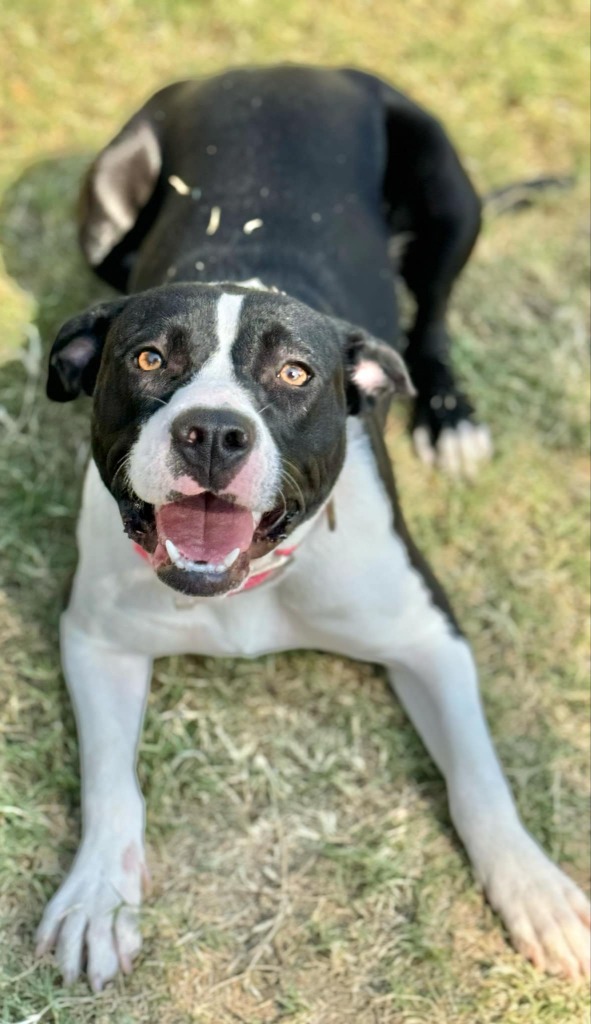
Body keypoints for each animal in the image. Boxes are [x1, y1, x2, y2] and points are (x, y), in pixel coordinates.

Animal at [36, 66, 589, 991]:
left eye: (295, 374)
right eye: (148, 358)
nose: (213, 432)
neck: (249, 585)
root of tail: (284, 67)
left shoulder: (429, 636)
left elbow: (478, 778)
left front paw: (533, 888)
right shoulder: (96, 639)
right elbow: (110, 782)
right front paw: (97, 898)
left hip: (448, 195)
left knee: (432, 315)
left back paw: (449, 415)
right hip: (106, 200)